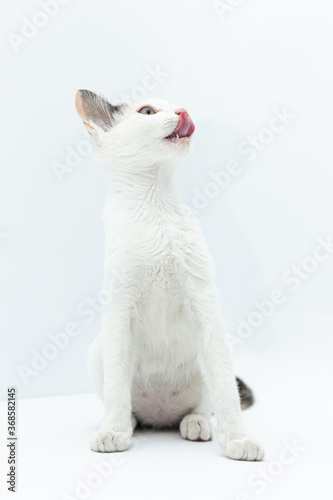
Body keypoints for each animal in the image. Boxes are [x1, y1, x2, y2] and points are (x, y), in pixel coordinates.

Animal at [75, 91, 264, 460]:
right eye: (147, 111)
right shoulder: (118, 313)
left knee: (205, 403)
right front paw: (113, 431)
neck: (155, 207)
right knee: (127, 403)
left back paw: (196, 423)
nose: (182, 112)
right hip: (97, 351)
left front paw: (237, 440)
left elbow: (226, 391)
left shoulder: (206, 307)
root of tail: (160, 417)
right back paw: (125, 422)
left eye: (176, 104)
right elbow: (117, 384)